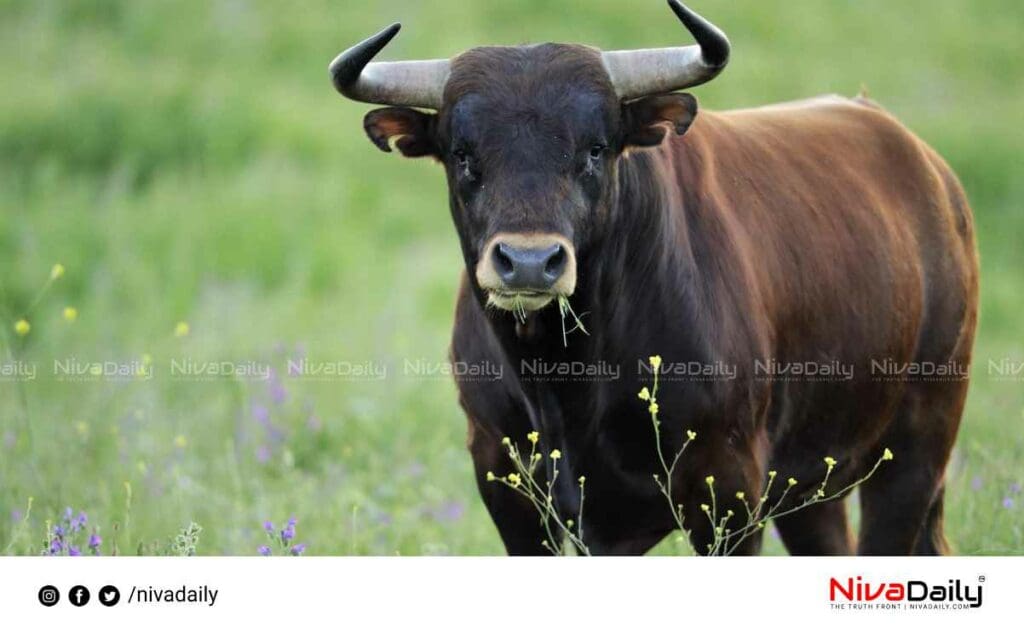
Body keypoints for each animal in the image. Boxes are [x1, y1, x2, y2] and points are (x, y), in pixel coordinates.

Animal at [331, 0, 978, 553]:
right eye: (463, 154)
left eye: (594, 148)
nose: (530, 262)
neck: (565, 380)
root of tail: (929, 170)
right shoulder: (508, 485)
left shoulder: (728, 491)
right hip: (814, 489)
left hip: (915, 452)